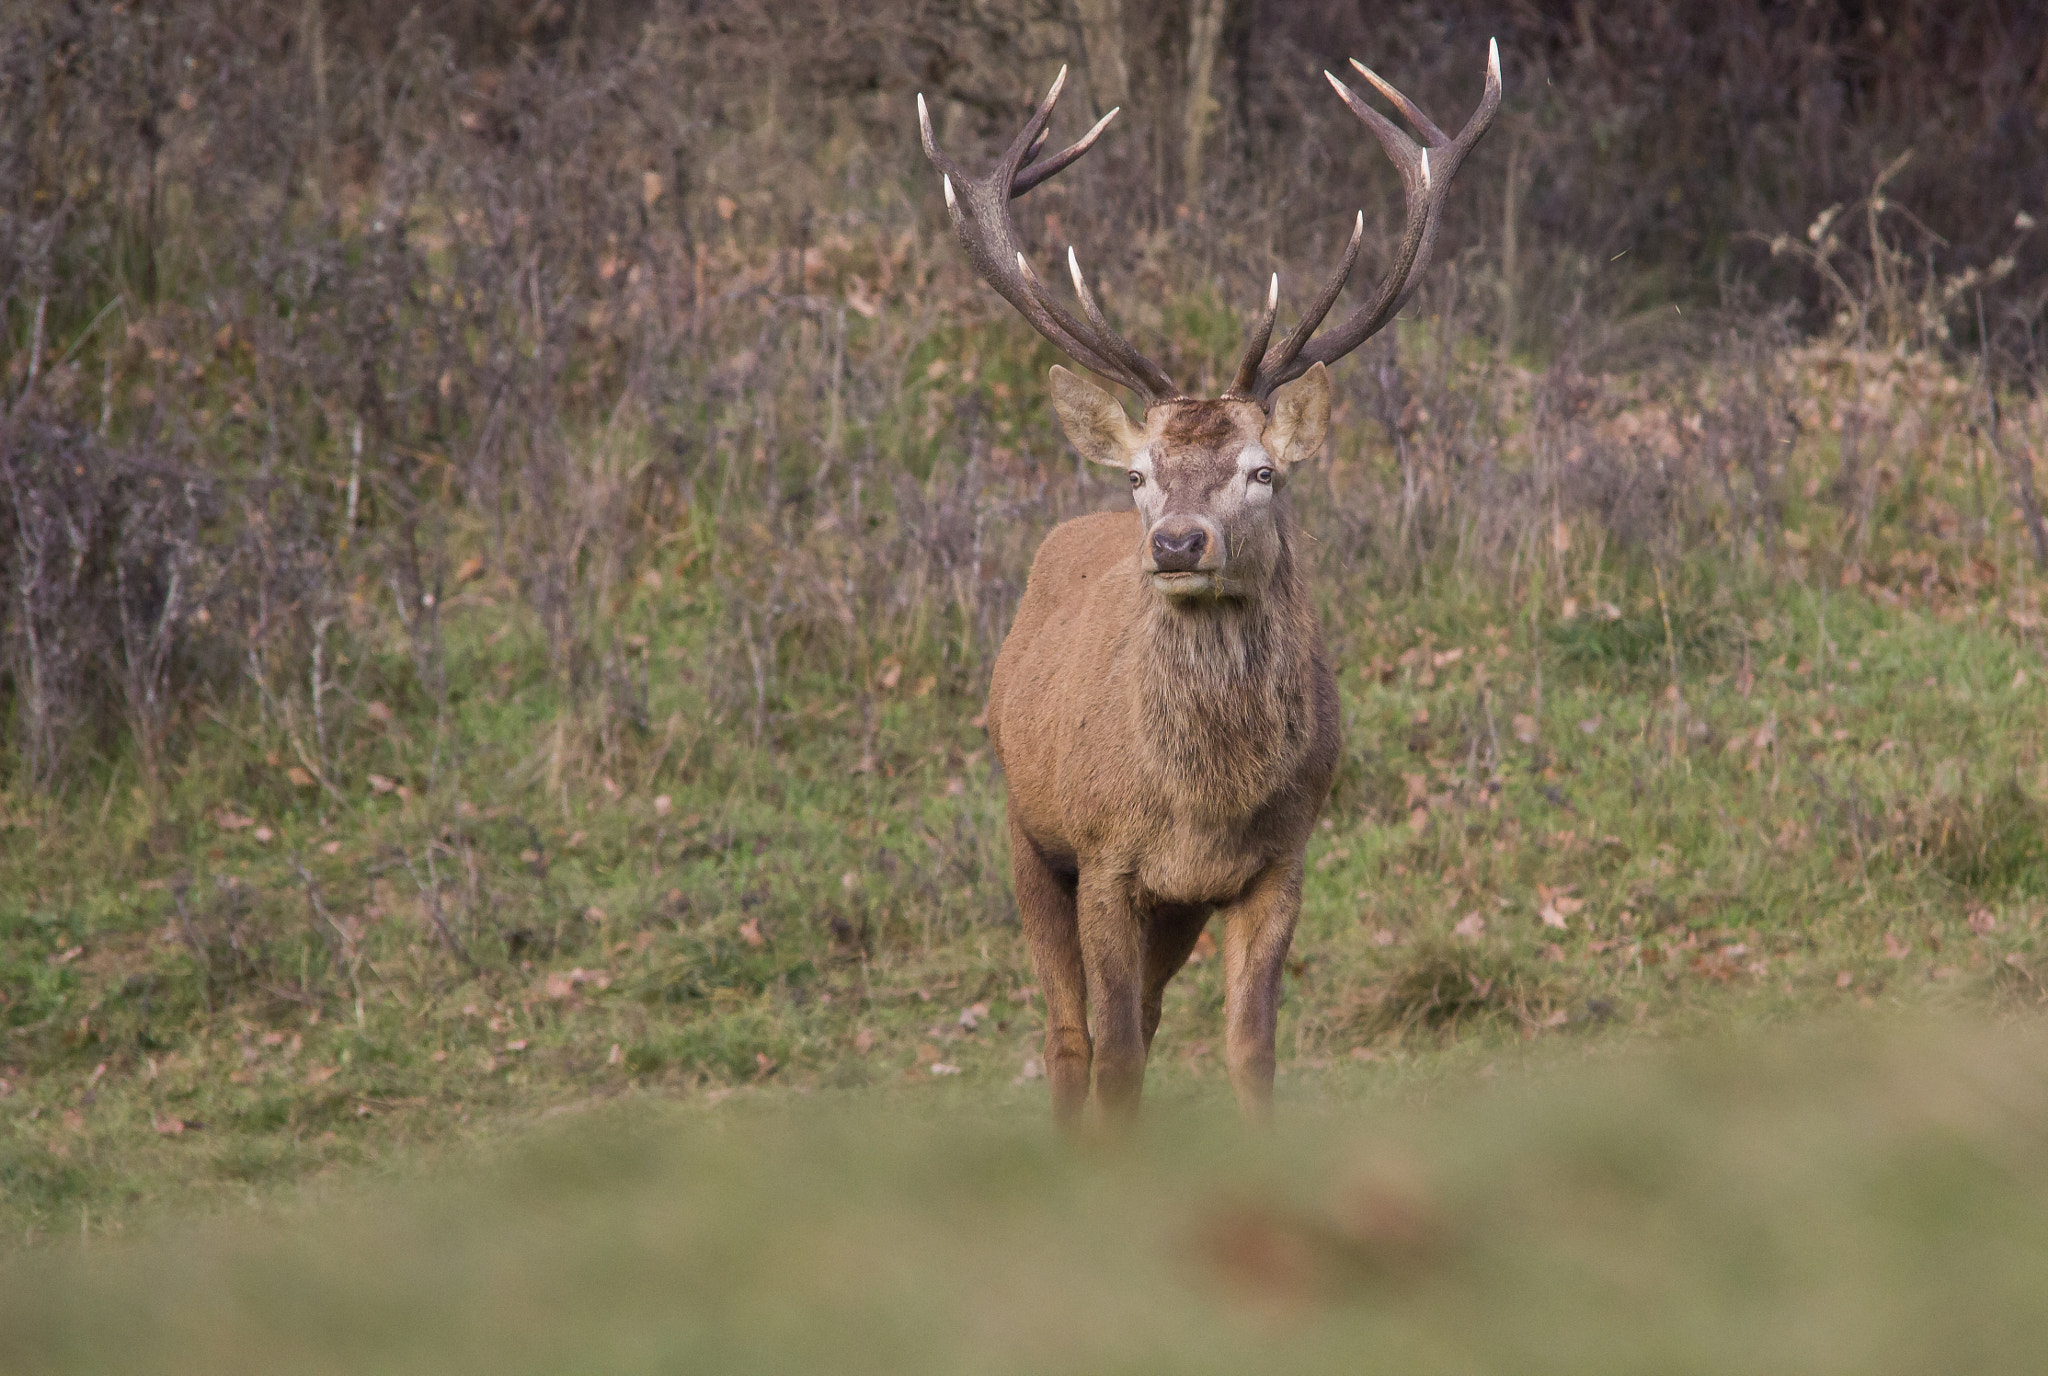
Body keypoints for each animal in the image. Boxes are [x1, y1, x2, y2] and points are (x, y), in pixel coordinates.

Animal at [918, 42, 1499, 1126]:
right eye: (1139, 473)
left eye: (1261, 471)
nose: (1179, 543)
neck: (1200, 803)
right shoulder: (1104, 854)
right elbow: (1113, 1054)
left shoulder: (1279, 857)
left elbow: (1247, 1047)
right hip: (1024, 826)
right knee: (1069, 1035)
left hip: (1172, 906)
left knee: (1139, 1019)